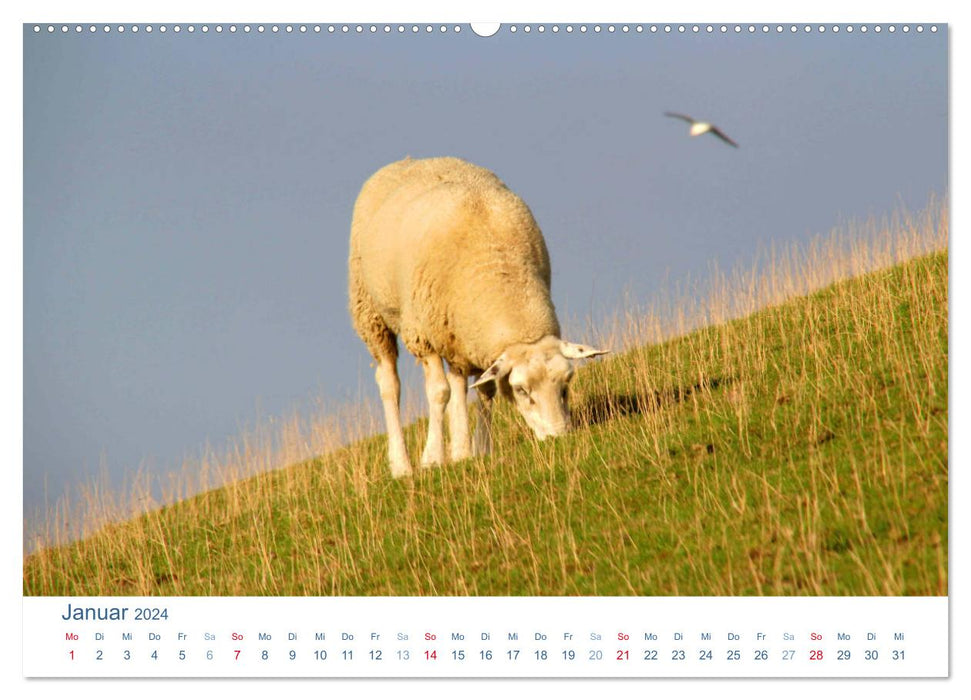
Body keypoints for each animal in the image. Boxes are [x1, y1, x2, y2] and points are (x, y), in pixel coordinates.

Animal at [350, 157, 608, 478]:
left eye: (565, 385)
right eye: (521, 390)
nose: (558, 437)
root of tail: (411, 160)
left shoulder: (476, 343)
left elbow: (484, 391)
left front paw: (478, 449)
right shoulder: (423, 335)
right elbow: (439, 393)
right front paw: (432, 458)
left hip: (455, 333)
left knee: (459, 381)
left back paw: (460, 448)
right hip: (371, 311)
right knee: (389, 383)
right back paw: (402, 465)